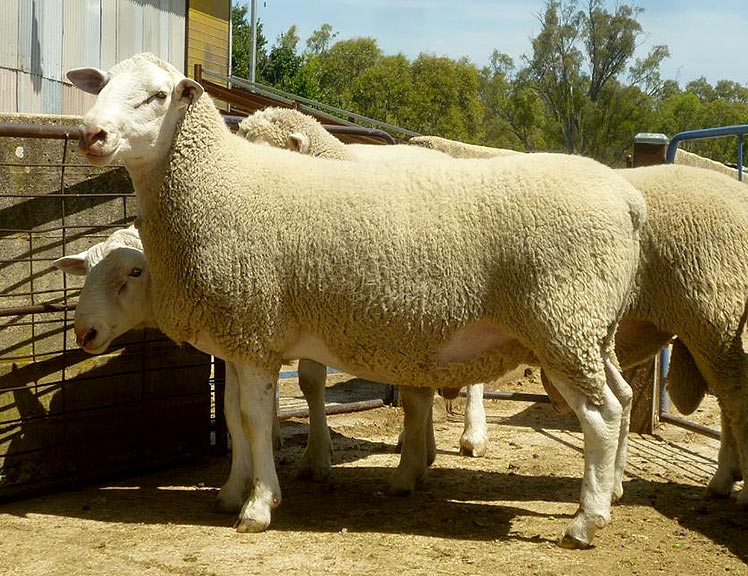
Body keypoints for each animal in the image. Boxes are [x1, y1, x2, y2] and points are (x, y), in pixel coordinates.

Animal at [67, 53, 644, 548]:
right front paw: (231, 492)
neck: (218, 185)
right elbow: (232, 418)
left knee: (602, 413)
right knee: (623, 395)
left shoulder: (254, 328)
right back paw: (612, 491)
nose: (90, 134)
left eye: (158, 96)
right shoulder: (240, 335)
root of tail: (626, 198)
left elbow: (255, 419)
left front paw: (259, 506)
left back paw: (585, 522)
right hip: (590, 329)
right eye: (103, 84)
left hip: (560, 321)